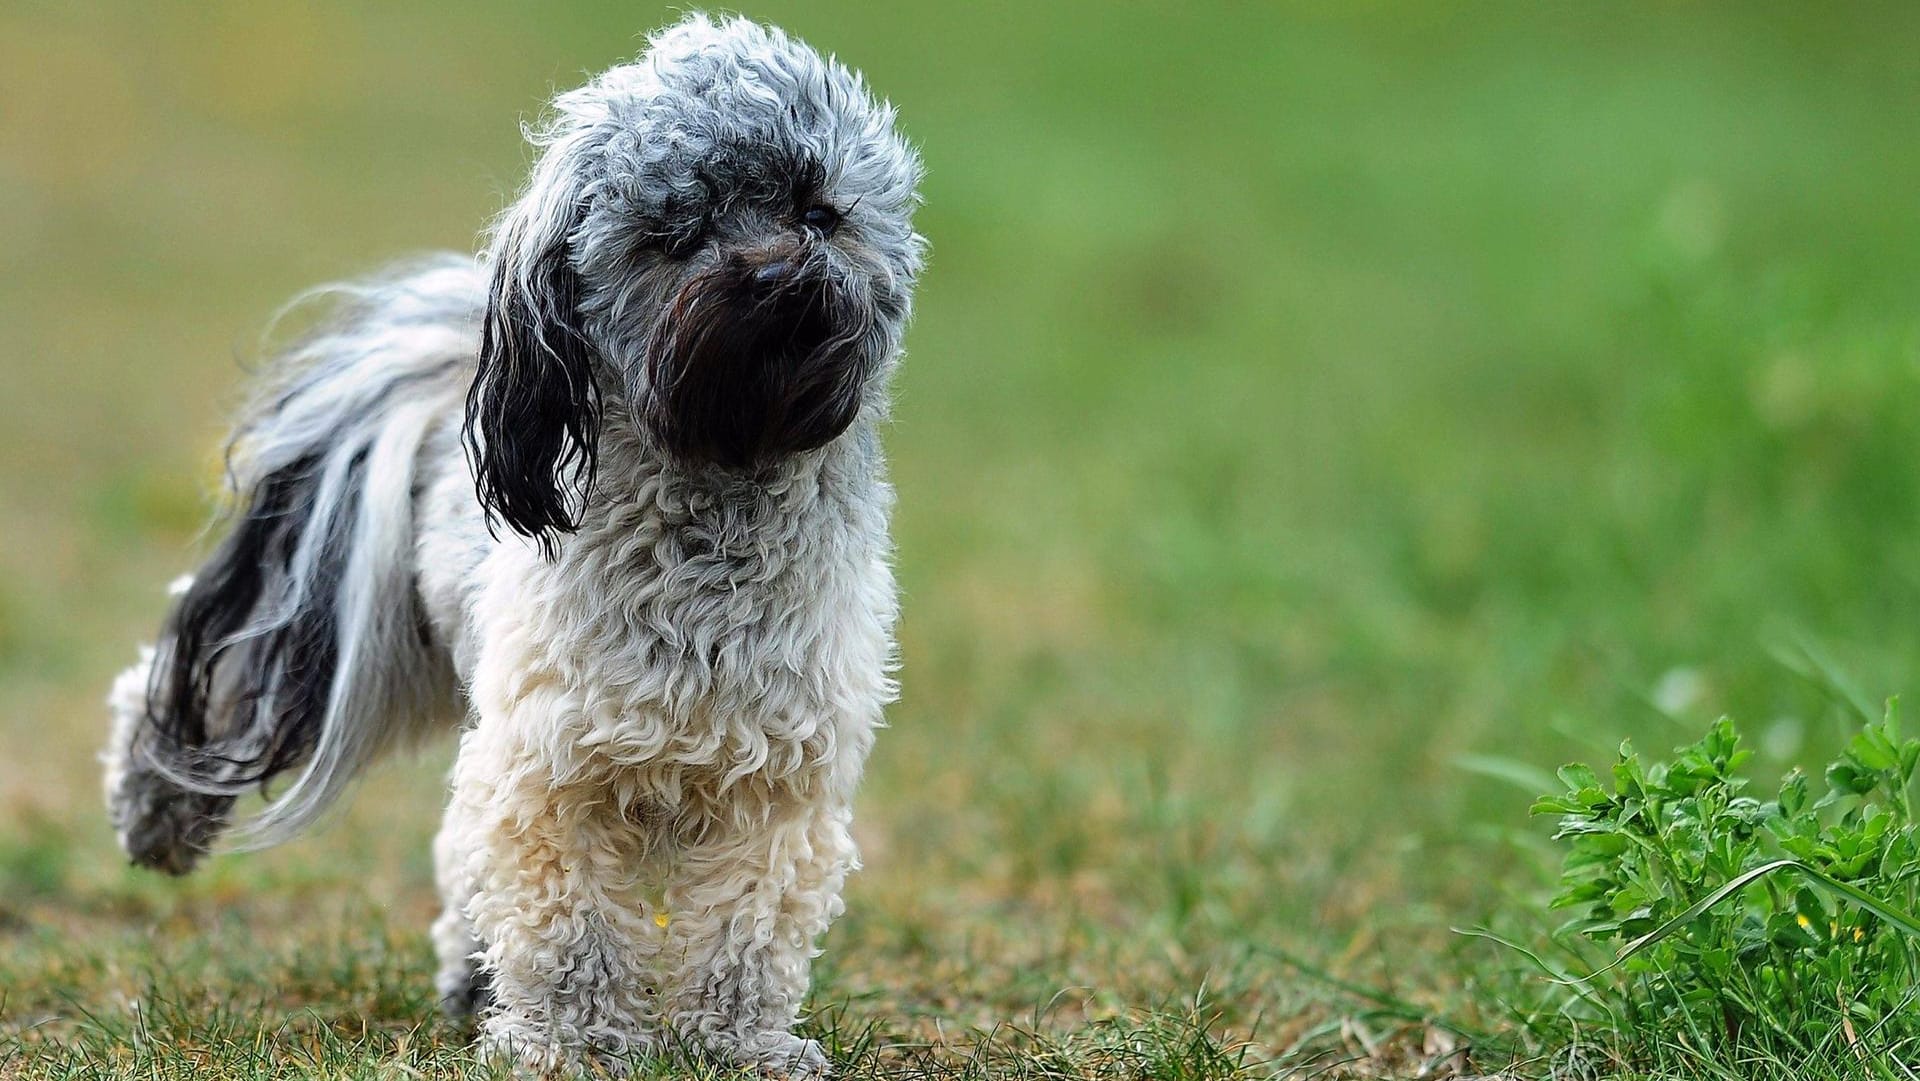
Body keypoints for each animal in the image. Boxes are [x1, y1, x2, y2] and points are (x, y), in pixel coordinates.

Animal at [101, 14, 925, 1075]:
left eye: (816, 209)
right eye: (678, 233)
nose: (782, 279)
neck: (717, 500)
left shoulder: (780, 781)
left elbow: (749, 931)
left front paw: (742, 1045)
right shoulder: (553, 768)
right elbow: (571, 927)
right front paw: (568, 1045)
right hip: (384, 647)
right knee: (185, 691)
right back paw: (154, 811)